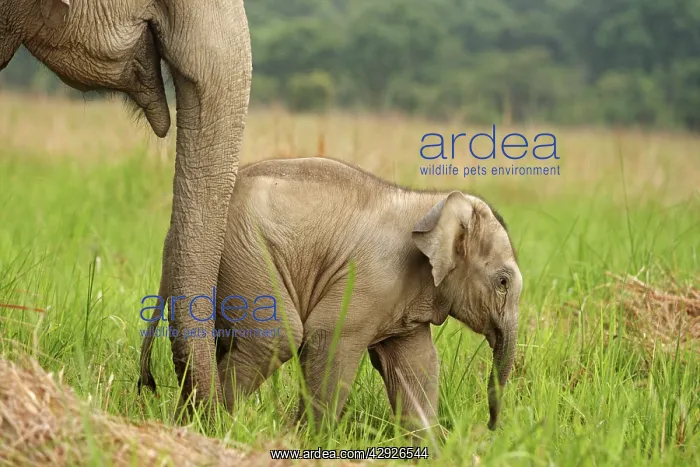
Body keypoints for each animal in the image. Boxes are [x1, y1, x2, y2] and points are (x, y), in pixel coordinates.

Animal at [139, 156, 522, 434]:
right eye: (503, 282)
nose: (490, 427)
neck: (432, 201)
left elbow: (416, 367)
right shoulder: (370, 278)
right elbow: (329, 338)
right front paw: (305, 440)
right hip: (244, 251)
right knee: (274, 337)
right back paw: (212, 428)